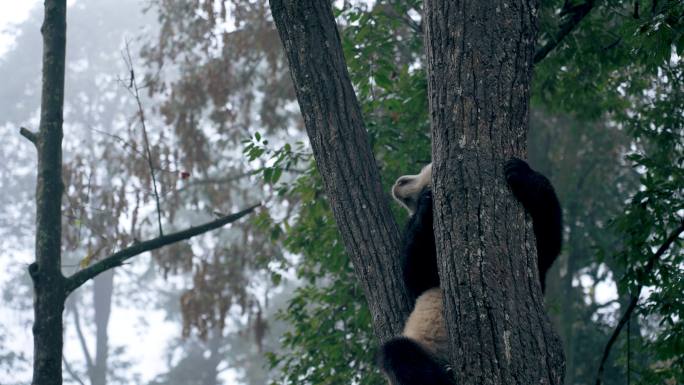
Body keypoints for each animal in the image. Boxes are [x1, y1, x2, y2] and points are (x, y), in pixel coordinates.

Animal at [380, 158, 560, 384]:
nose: (400, 183)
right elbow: (415, 277)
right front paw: (426, 202)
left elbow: (547, 243)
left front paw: (521, 173)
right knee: (400, 354)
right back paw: (445, 377)